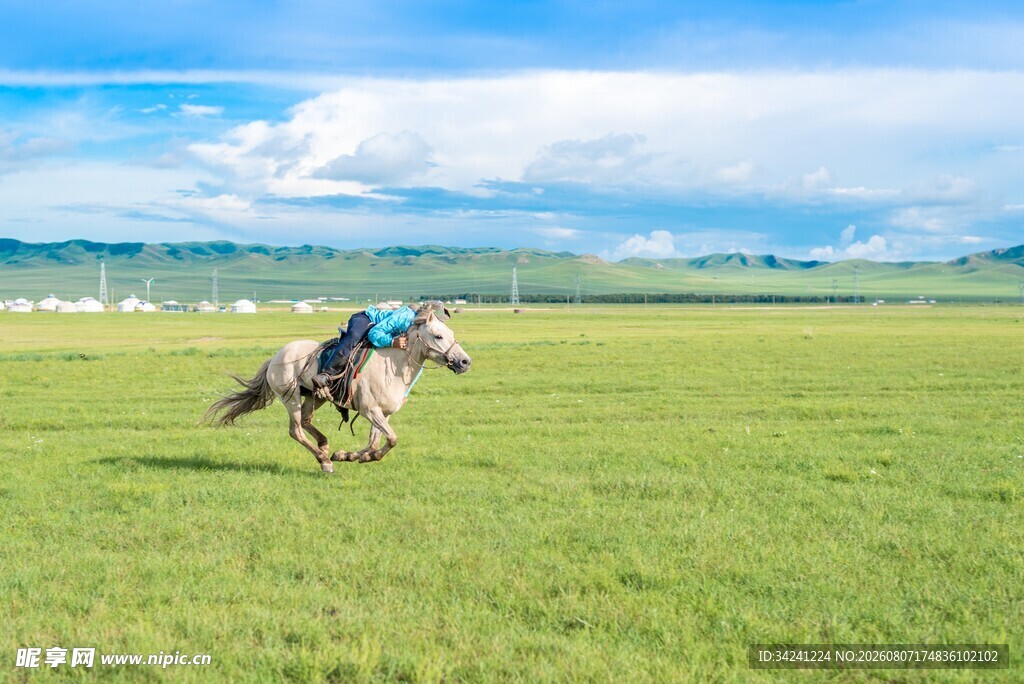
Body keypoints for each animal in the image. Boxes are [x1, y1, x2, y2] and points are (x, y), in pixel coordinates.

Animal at [203, 303, 471, 472]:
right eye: (438, 336)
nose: (465, 362)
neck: (394, 366)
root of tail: (276, 356)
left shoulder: (382, 414)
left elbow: (376, 442)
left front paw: (351, 455)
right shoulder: (370, 410)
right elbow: (391, 439)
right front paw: (350, 457)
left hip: (314, 396)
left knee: (307, 421)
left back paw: (325, 446)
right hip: (290, 398)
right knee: (296, 430)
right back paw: (324, 461)